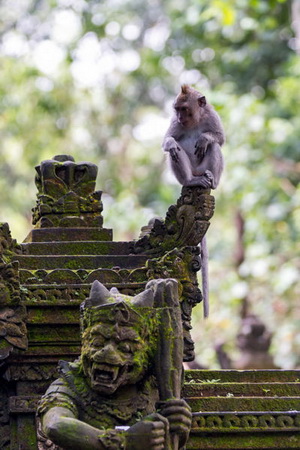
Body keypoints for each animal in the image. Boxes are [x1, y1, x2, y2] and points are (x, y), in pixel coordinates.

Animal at [163, 84, 224, 316]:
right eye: (177, 110)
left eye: (184, 109)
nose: (180, 118)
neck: (196, 120)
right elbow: (167, 141)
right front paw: (171, 143)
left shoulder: (212, 116)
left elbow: (219, 138)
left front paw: (205, 138)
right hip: (186, 174)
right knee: (175, 152)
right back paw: (190, 180)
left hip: (207, 169)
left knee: (215, 148)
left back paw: (210, 180)